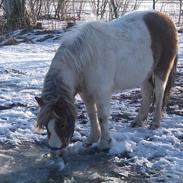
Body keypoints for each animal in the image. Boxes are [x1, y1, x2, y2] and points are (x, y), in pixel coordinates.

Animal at [35, 10, 178, 154]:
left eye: (62, 124)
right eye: (46, 125)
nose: (55, 150)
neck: (85, 59)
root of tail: (166, 18)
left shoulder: (101, 93)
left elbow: (102, 117)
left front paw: (104, 143)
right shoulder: (86, 93)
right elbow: (92, 115)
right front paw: (92, 139)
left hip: (161, 69)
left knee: (159, 93)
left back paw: (155, 123)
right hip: (144, 73)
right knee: (147, 93)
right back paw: (138, 121)